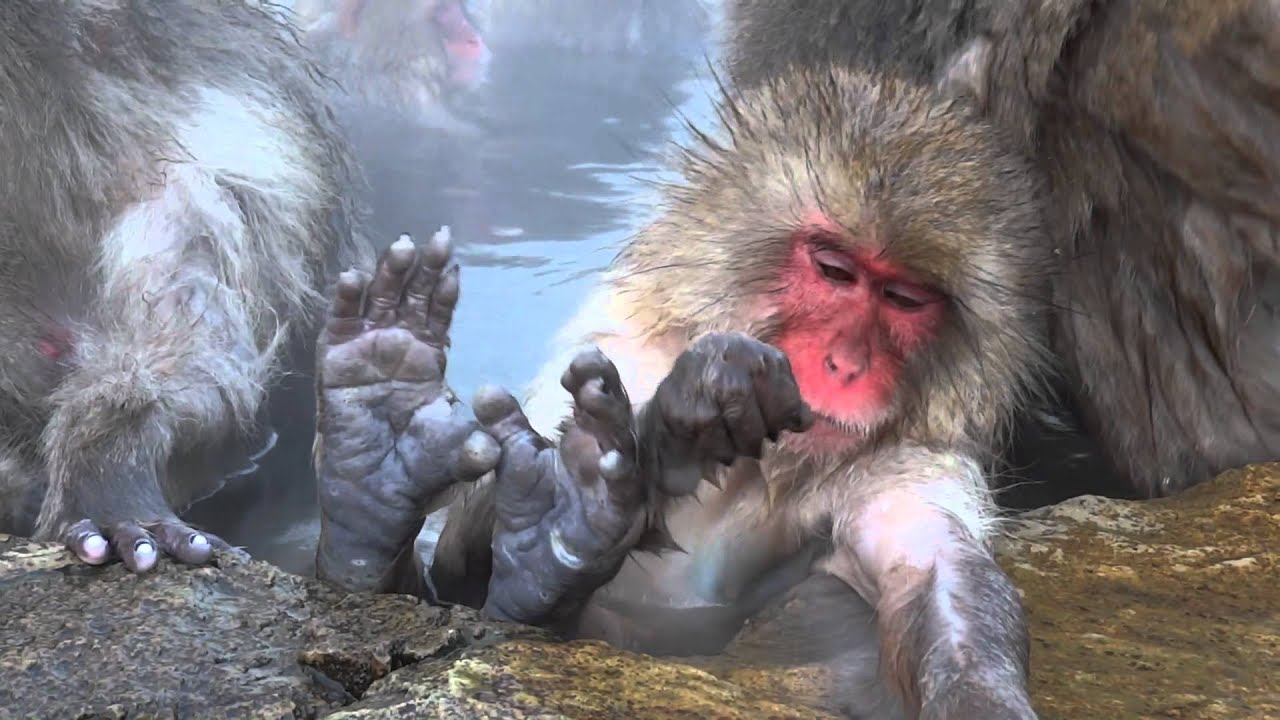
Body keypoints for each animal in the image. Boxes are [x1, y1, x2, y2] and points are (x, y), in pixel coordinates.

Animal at [313, 55, 1053, 718]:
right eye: (835, 270)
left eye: (904, 298)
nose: (846, 365)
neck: (762, 465)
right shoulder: (628, 347)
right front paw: (688, 409)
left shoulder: (903, 456)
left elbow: (935, 579)